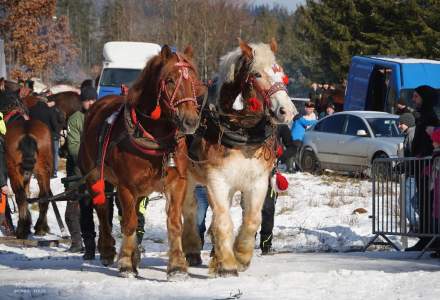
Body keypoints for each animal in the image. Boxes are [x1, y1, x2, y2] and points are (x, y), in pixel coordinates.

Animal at [79, 45, 206, 278]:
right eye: (170, 80)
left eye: (193, 80)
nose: (191, 121)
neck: (155, 137)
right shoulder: (126, 186)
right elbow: (128, 223)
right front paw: (126, 263)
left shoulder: (177, 183)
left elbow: (174, 223)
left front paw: (177, 266)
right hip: (94, 175)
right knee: (102, 210)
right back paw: (108, 249)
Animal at [180, 39, 298, 276]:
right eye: (257, 74)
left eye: (281, 73)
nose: (287, 111)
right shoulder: (216, 180)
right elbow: (223, 220)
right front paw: (226, 264)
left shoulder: (257, 181)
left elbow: (252, 219)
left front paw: (241, 256)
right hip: (188, 177)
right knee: (190, 210)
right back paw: (193, 251)